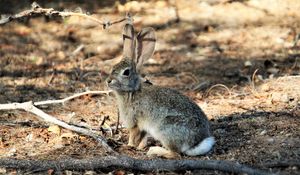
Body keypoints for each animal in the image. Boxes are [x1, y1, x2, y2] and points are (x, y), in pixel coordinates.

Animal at [106, 23, 214, 159]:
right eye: (113, 67)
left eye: (126, 72)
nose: (108, 81)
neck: (132, 91)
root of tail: (195, 144)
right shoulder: (143, 127)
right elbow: (142, 137)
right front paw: (139, 147)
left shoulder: (134, 121)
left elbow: (133, 136)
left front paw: (129, 145)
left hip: (165, 129)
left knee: (175, 153)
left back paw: (154, 150)